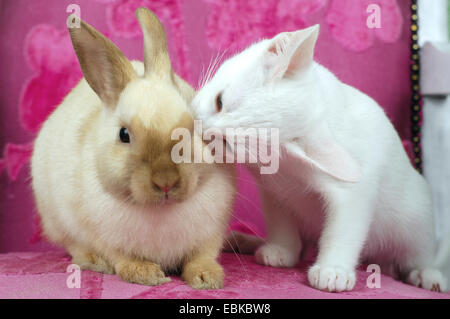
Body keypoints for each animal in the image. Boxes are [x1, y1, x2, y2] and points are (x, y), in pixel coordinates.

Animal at [31, 8, 236, 290]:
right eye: (124, 135)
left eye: (193, 126)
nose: (166, 181)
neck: (160, 210)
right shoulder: (103, 236)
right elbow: (121, 258)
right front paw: (147, 274)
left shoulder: (212, 233)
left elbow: (202, 256)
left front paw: (208, 278)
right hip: (57, 220)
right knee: (76, 247)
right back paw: (94, 261)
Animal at [192, 26, 448, 294]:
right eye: (219, 101)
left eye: (227, 143)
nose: (200, 128)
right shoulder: (273, 187)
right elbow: (279, 217)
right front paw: (282, 249)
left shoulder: (355, 189)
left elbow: (345, 227)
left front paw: (333, 270)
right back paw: (248, 241)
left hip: (415, 218)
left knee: (418, 255)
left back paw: (428, 274)